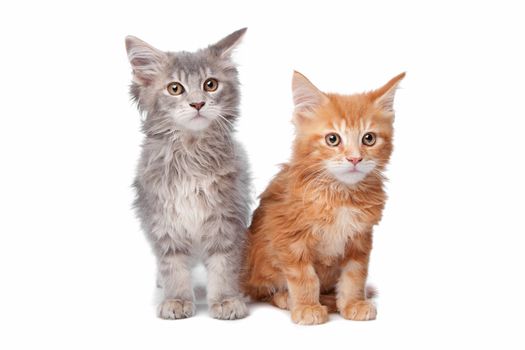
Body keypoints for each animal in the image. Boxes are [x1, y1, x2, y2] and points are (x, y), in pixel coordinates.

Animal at [126, 28, 251, 322]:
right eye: (175, 88)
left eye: (210, 84)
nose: (197, 103)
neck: (191, 153)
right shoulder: (163, 220)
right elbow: (173, 267)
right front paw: (177, 300)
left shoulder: (226, 218)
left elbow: (223, 264)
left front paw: (226, 300)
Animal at [242, 71, 406, 326]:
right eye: (333, 139)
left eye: (368, 138)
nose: (354, 159)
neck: (340, 195)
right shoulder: (289, 238)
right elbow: (304, 277)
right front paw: (307, 307)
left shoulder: (359, 239)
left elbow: (354, 276)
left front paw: (352, 303)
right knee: (263, 292)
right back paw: (287, 298)